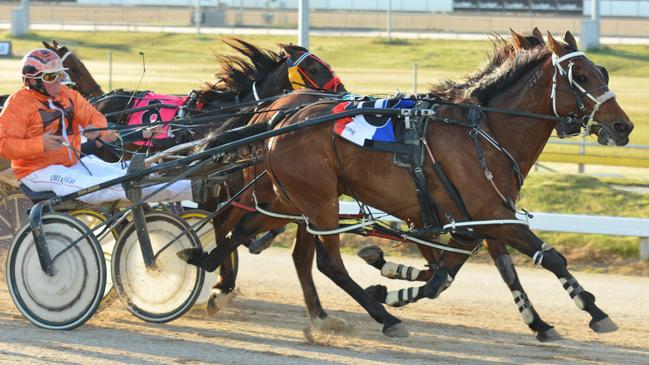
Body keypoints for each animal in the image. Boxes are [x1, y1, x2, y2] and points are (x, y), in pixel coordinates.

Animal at [178, 29, 632, 336]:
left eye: (602, 72)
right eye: (580, 76)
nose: (623, 126)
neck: (480, 130)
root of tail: (276, 117)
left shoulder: (473, 222)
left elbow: (449, 276)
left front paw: (540, 322)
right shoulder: (489, 214)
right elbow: (548, 258)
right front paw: (594, 312)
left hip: (289, 197)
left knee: (244, 229)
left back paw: (205, 265)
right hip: (319, 201)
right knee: (324, 261)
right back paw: (384, 318)